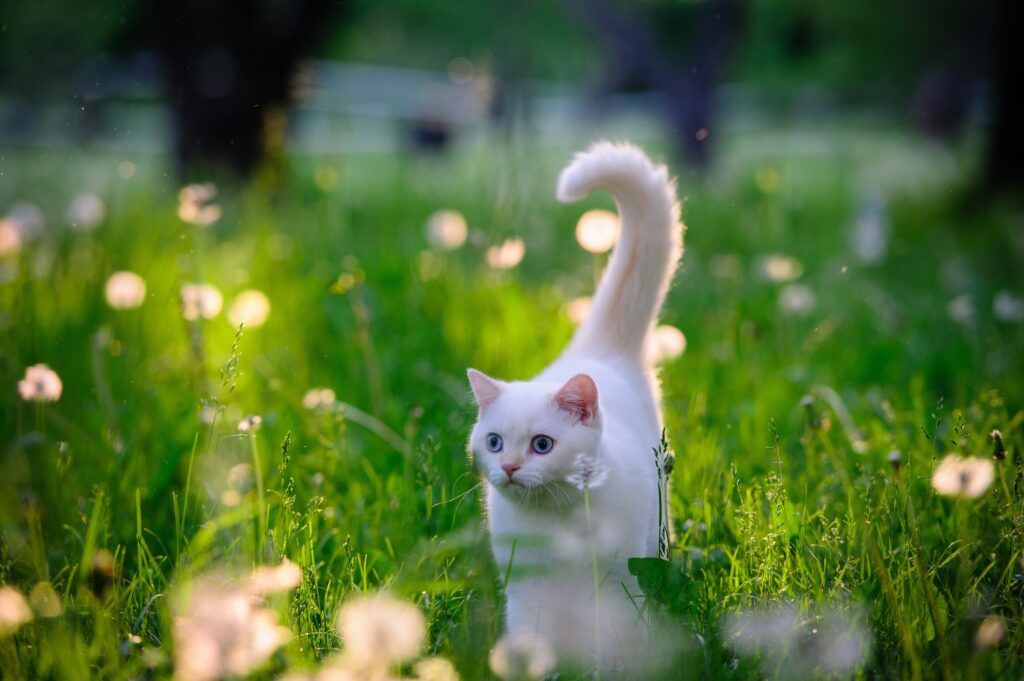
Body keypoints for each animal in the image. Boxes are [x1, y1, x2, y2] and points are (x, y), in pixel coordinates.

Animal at [468, 140, 684, 659]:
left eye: (542, 445)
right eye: (493, 442)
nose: (508, 467)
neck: (556, 527)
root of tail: (594, 350)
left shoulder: (617, 584)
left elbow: (613, 637)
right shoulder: (525, 590)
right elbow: (530, 635)